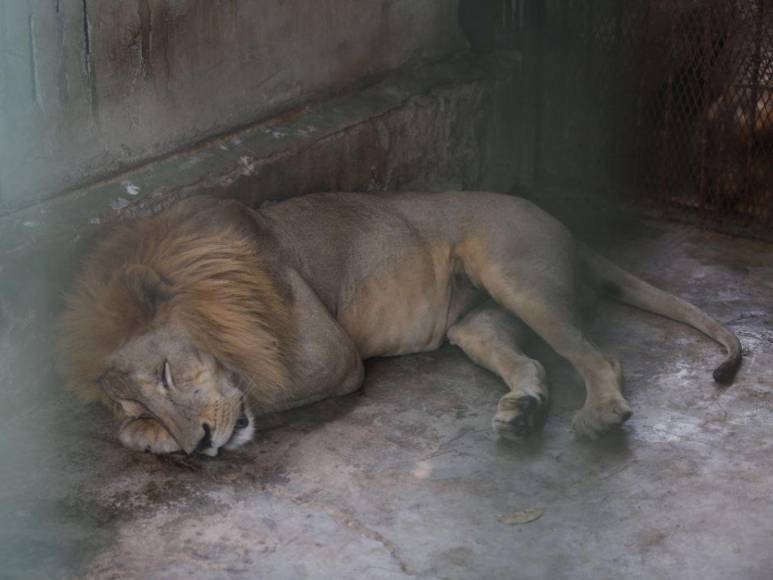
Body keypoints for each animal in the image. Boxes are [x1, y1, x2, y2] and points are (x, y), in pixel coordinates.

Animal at [57, 192, 742, 455]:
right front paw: (151, 437)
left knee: (602, 357)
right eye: (139, 404)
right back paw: (523, 413)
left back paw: (598, 416)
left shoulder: (329, 356)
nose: (200, 445)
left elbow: (258, 384)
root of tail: (569, 229)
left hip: (509, 267)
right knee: (531, 362)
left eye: (168, 374)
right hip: (475, 325)